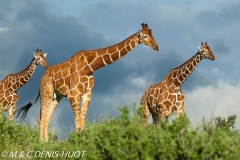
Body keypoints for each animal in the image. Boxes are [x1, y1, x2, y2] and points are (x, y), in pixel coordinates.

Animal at [16, 22, 159, 141]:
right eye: (145, 36)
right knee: (41, 118)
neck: (89, 67)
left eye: (152, 34)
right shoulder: (73, 95)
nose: (156, 47)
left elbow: (82, 125)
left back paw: (47, 142)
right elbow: (78, 125)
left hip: (56, 96)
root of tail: (42, 76)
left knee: (46, 118)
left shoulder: (87, 94)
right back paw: (42, 143)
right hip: (46, 92)